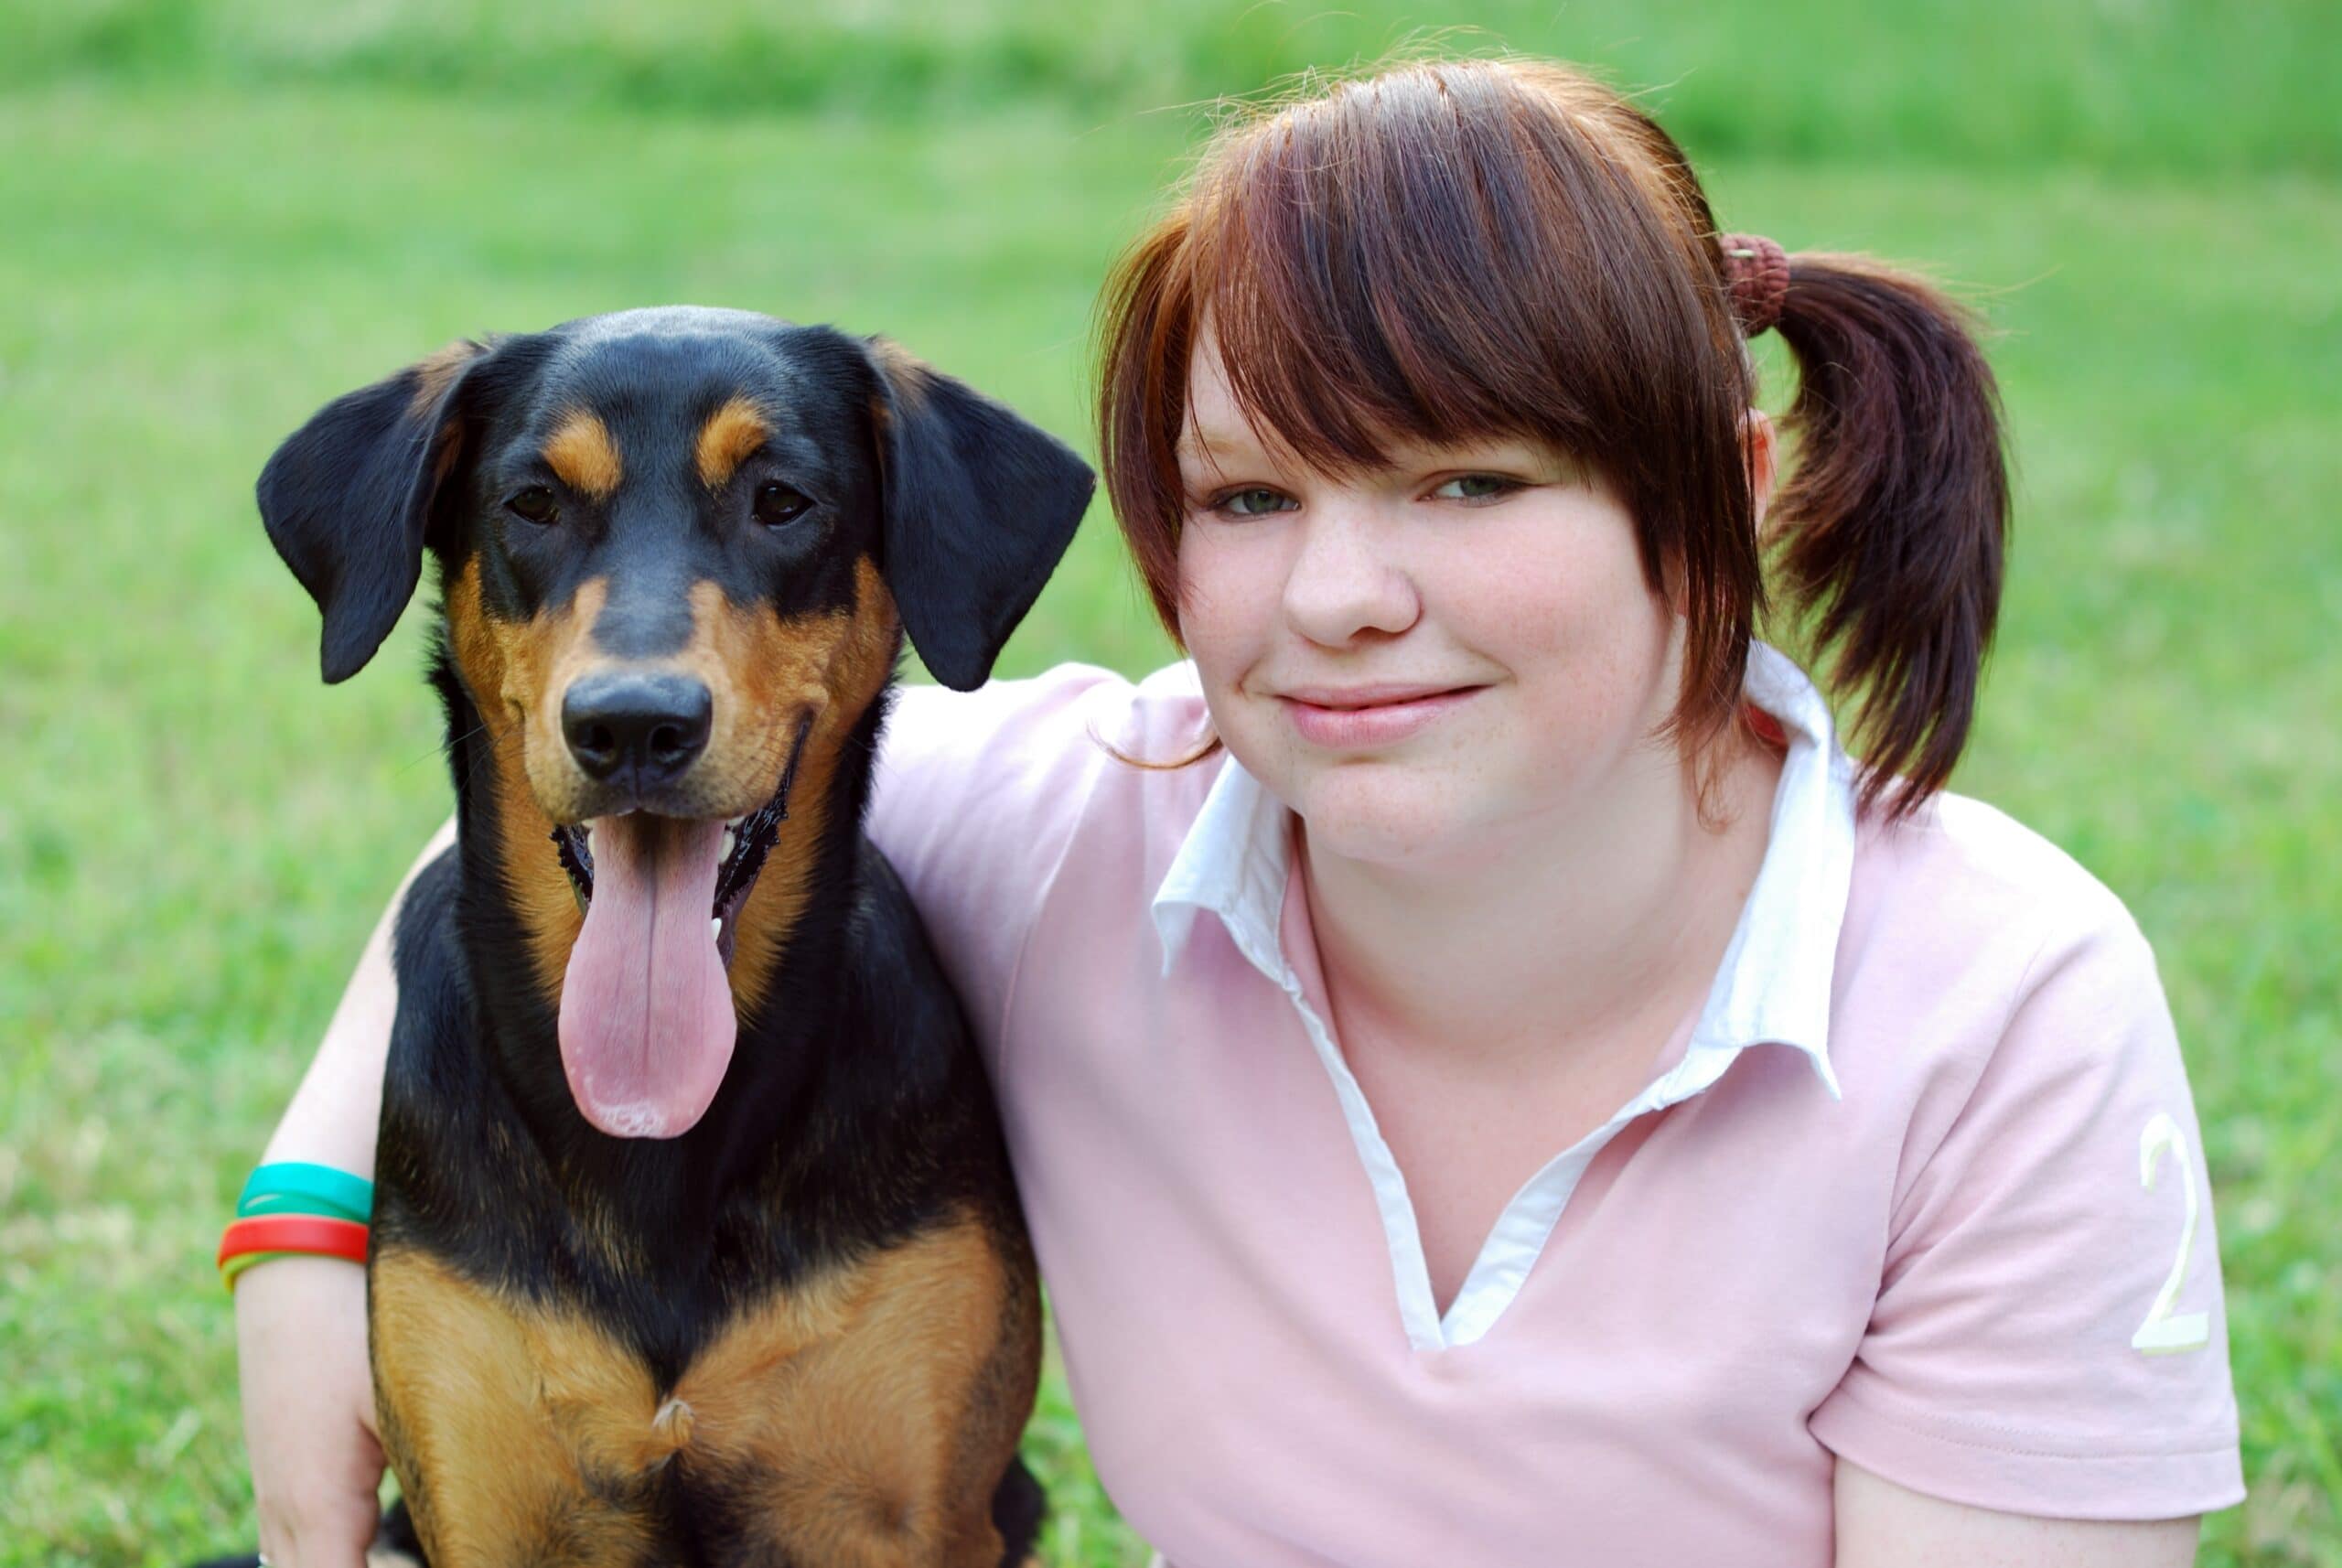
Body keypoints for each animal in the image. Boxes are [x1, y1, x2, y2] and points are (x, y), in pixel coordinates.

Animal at [220, 306, 1096, 1568]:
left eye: (781, 500)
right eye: (531, 502)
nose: (632, 724)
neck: (657, 1133)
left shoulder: (918, 1513)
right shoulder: (482, 1510)